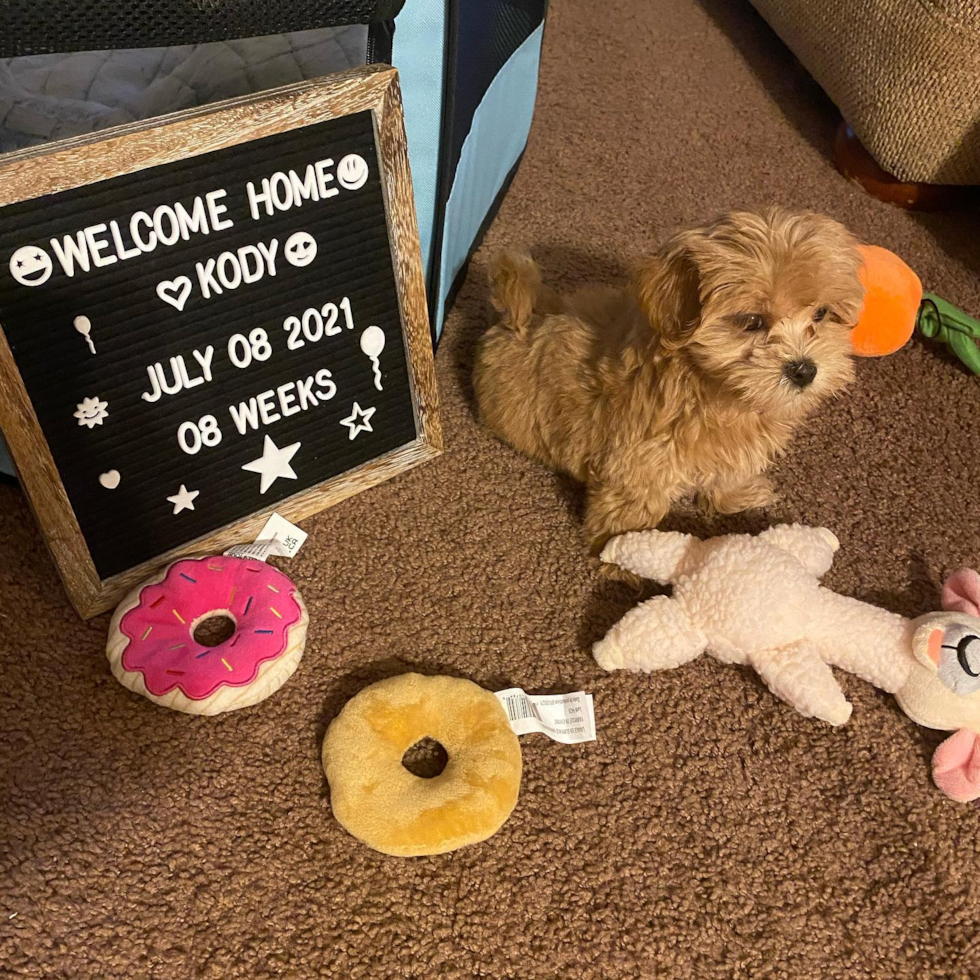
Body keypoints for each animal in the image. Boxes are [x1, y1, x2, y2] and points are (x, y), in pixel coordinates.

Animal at [474, 206, 864, 552]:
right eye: (752, 321)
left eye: (821, 313)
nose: (804, 369)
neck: (715, 390)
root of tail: (520, 319)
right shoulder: (638, 458)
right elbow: (631, 504)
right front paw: (624, 552)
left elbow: (728, 471)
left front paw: (736, 496)